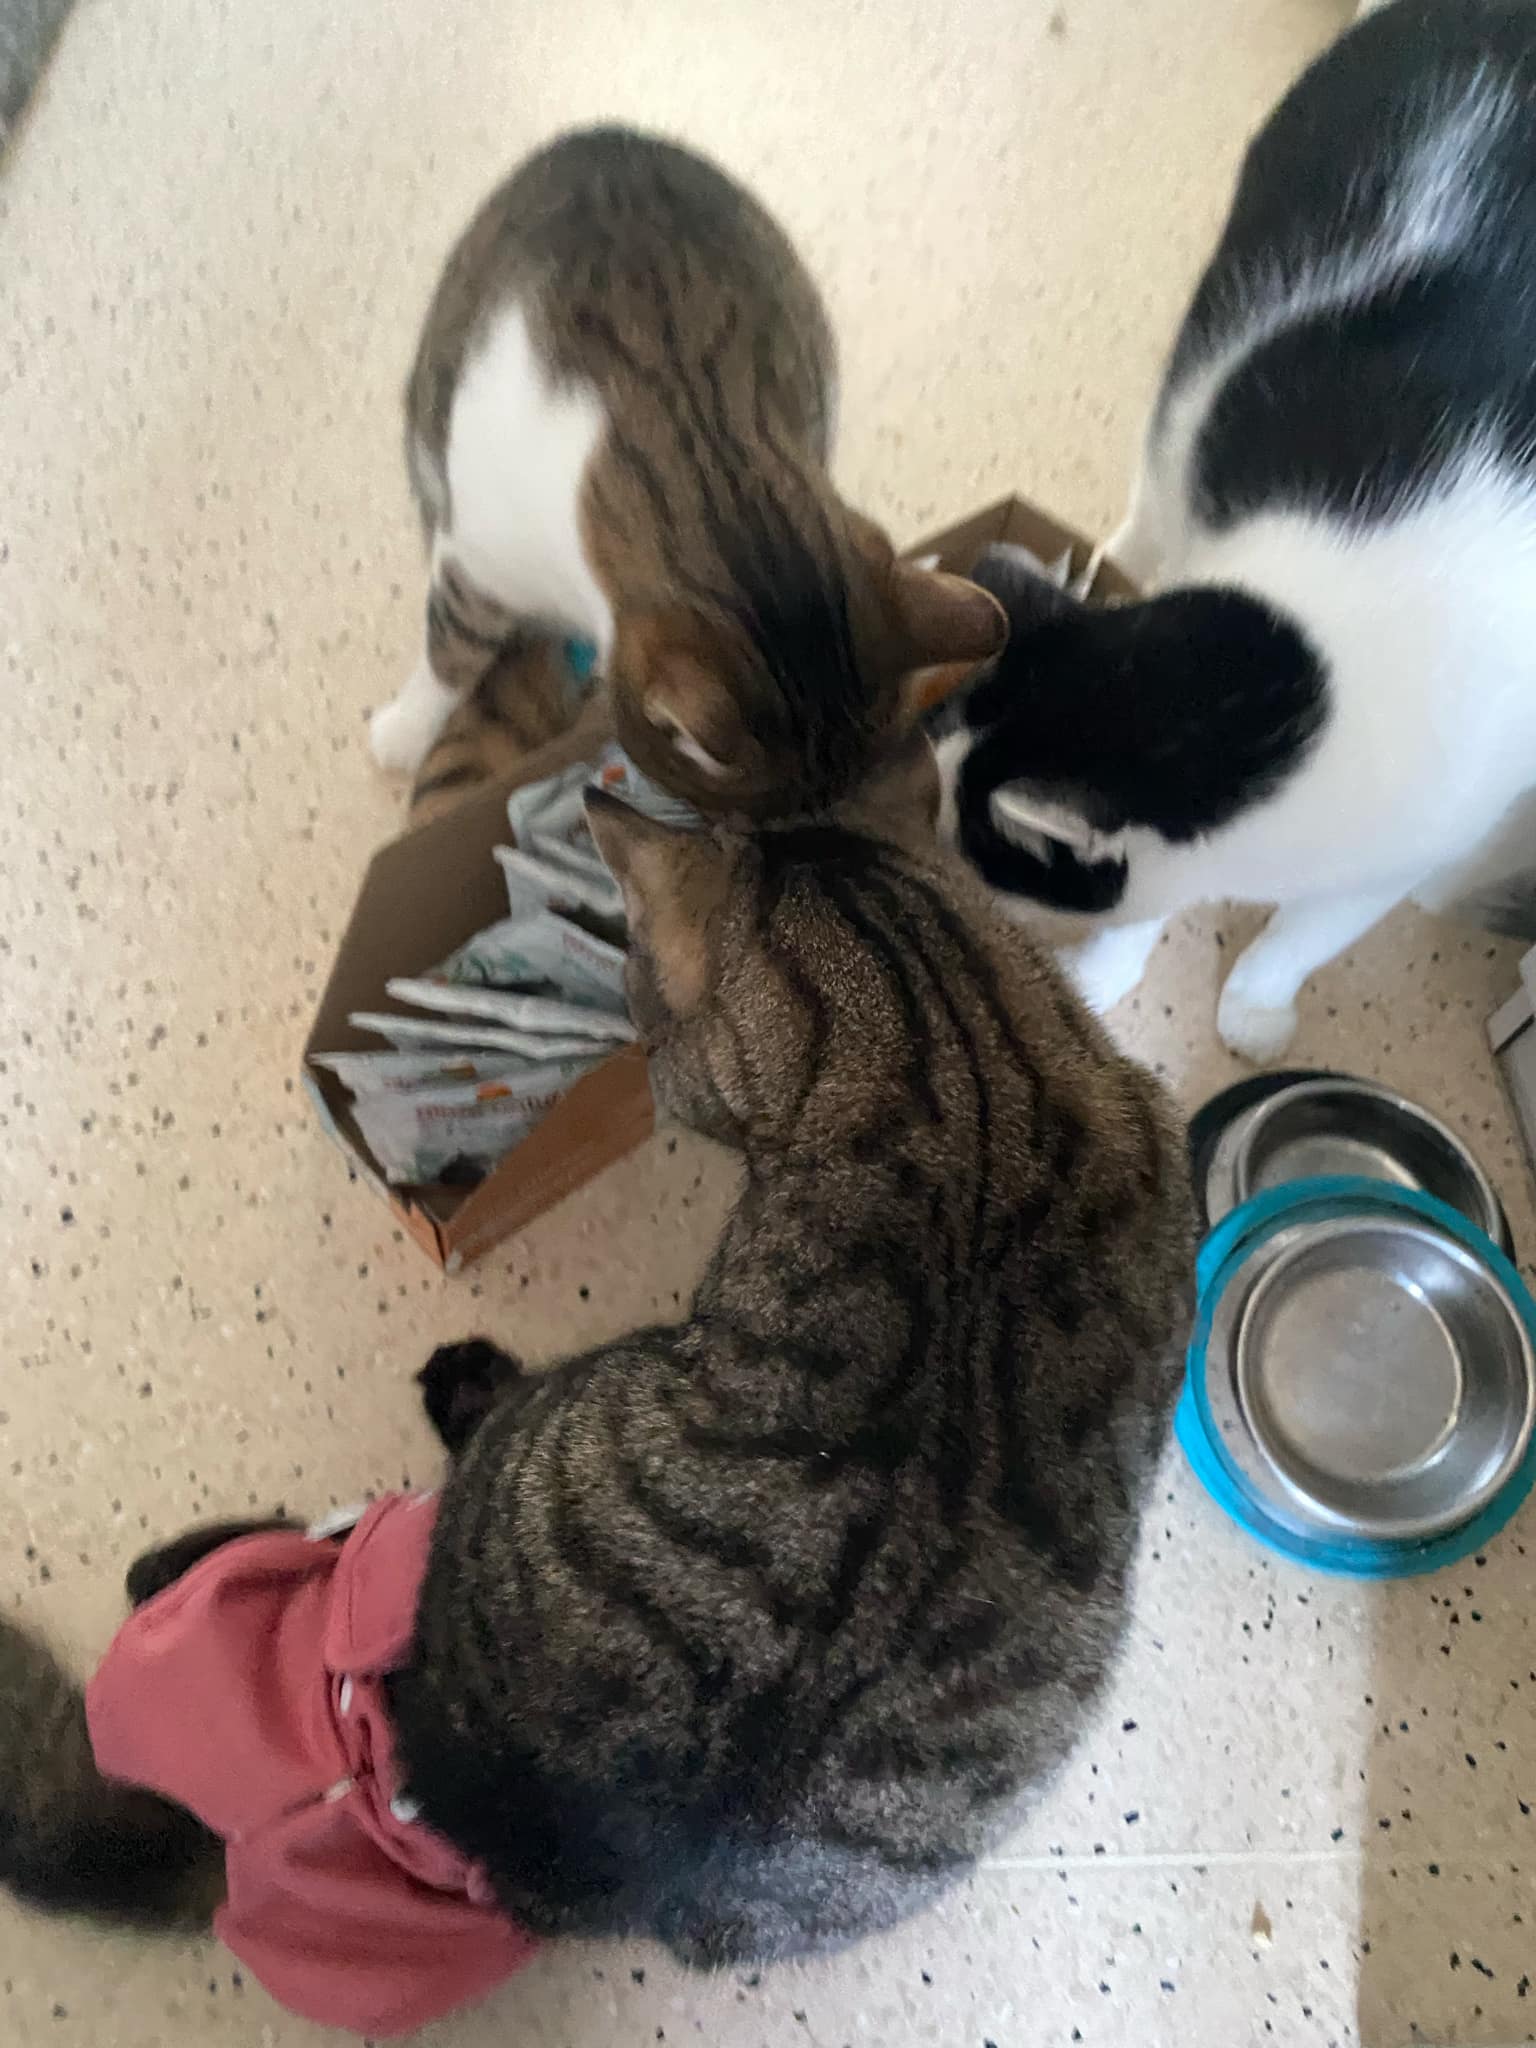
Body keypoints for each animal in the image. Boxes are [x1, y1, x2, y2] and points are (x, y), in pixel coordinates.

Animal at [932, 0, 1536, 1062]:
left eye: (977, 842)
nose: (924, 828)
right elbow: (1149, 911)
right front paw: (1104, 976)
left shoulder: (1408, 849)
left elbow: (1310, 932)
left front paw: (1256, 1005)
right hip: (1228, 315)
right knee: (1166, 454)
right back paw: (1116, 552)